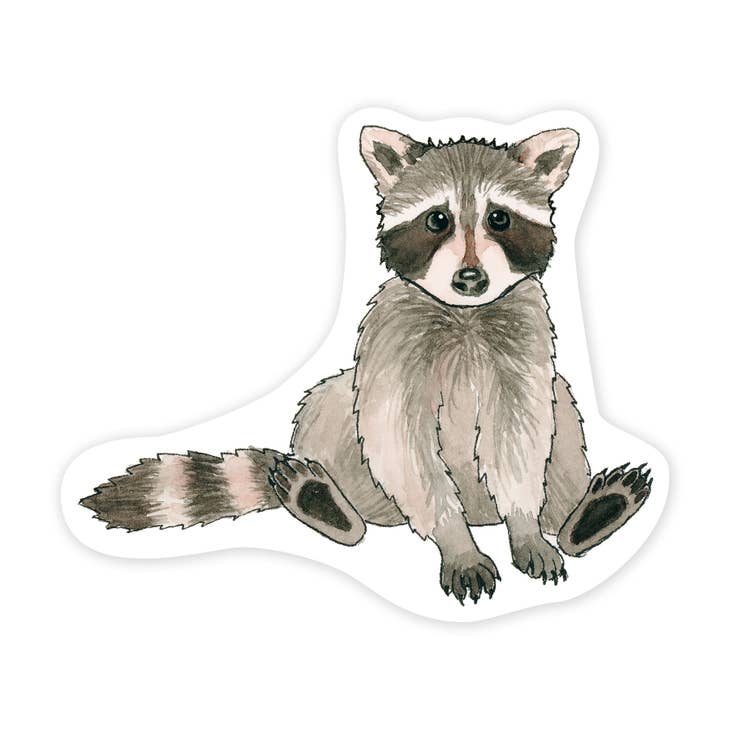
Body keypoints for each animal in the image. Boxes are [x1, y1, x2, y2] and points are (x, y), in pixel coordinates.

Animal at [81, 125, 652, 604]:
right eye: (438, 219)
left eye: (500, 218)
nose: (470, 278)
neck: (465, 314)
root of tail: (479, 511)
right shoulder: (394, 342)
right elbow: (399, 438)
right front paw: (456, 542)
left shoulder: (523, 339)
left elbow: (520, 435)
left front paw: (525, 525)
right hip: (349, 448)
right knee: (330, 403)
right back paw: (328, 505)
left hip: (559, 420)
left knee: (562, 409)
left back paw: (584, 516)